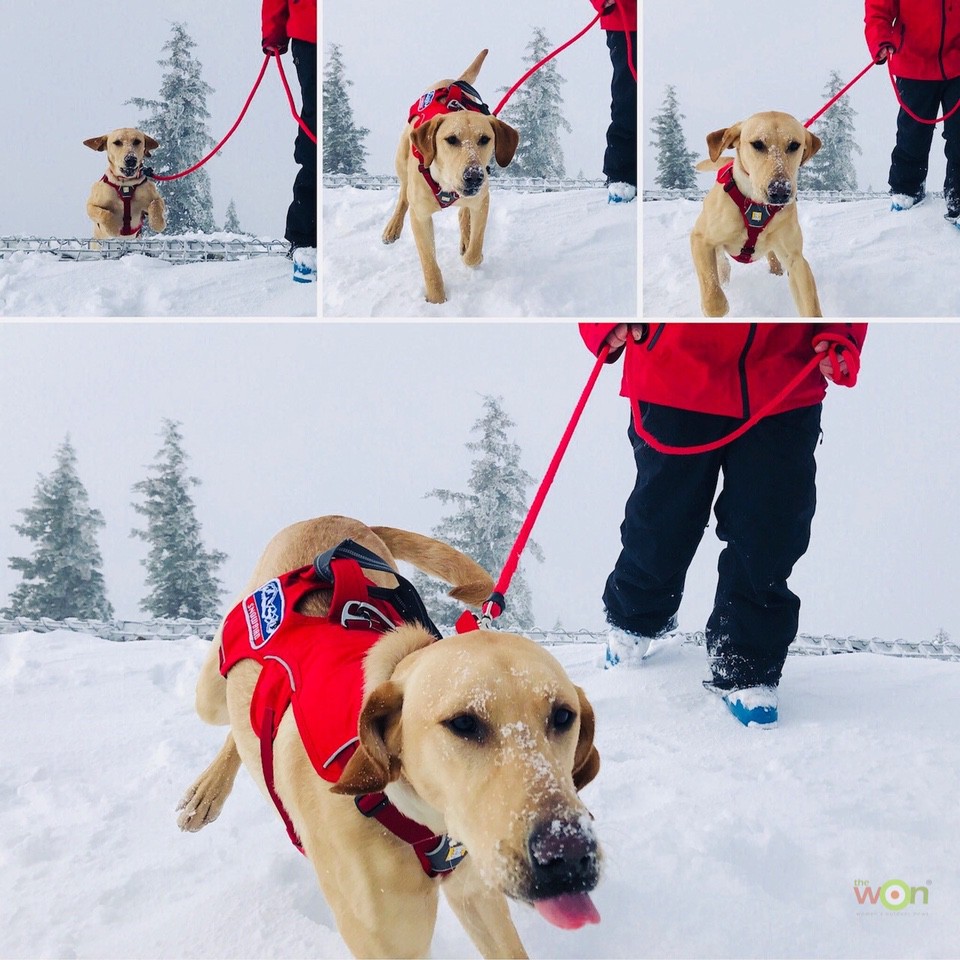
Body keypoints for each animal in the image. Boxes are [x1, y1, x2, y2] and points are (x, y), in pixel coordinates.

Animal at [178, 516, 600, 960]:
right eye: (463, 723)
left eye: (563, 716)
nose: (569, 857)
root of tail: (338, 518)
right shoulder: (389, 940)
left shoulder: (476, 895)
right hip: (210, 693)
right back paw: (206, 791)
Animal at [380, 50, 520, 304]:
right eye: (451, 139)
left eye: (485, 139)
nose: (474, 176)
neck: (445, 186)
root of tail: (453, 81)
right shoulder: (421, 217)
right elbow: (429, 263)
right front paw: (437, 299)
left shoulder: (482, 201)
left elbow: (475, 245)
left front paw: (473, 254)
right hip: (401, 157)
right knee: (403, 195)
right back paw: (393, 227)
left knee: (463, 213)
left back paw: (465, 236)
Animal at [692, 110, 820, 316]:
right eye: (758, 144)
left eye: (794, 145)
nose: (780, 191)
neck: (756, 207)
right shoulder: (700, 239)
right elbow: (713, 295)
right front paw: (716, 306)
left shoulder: (796, 259)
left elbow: (810, 305)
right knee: (720, 261)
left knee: (771, 255)